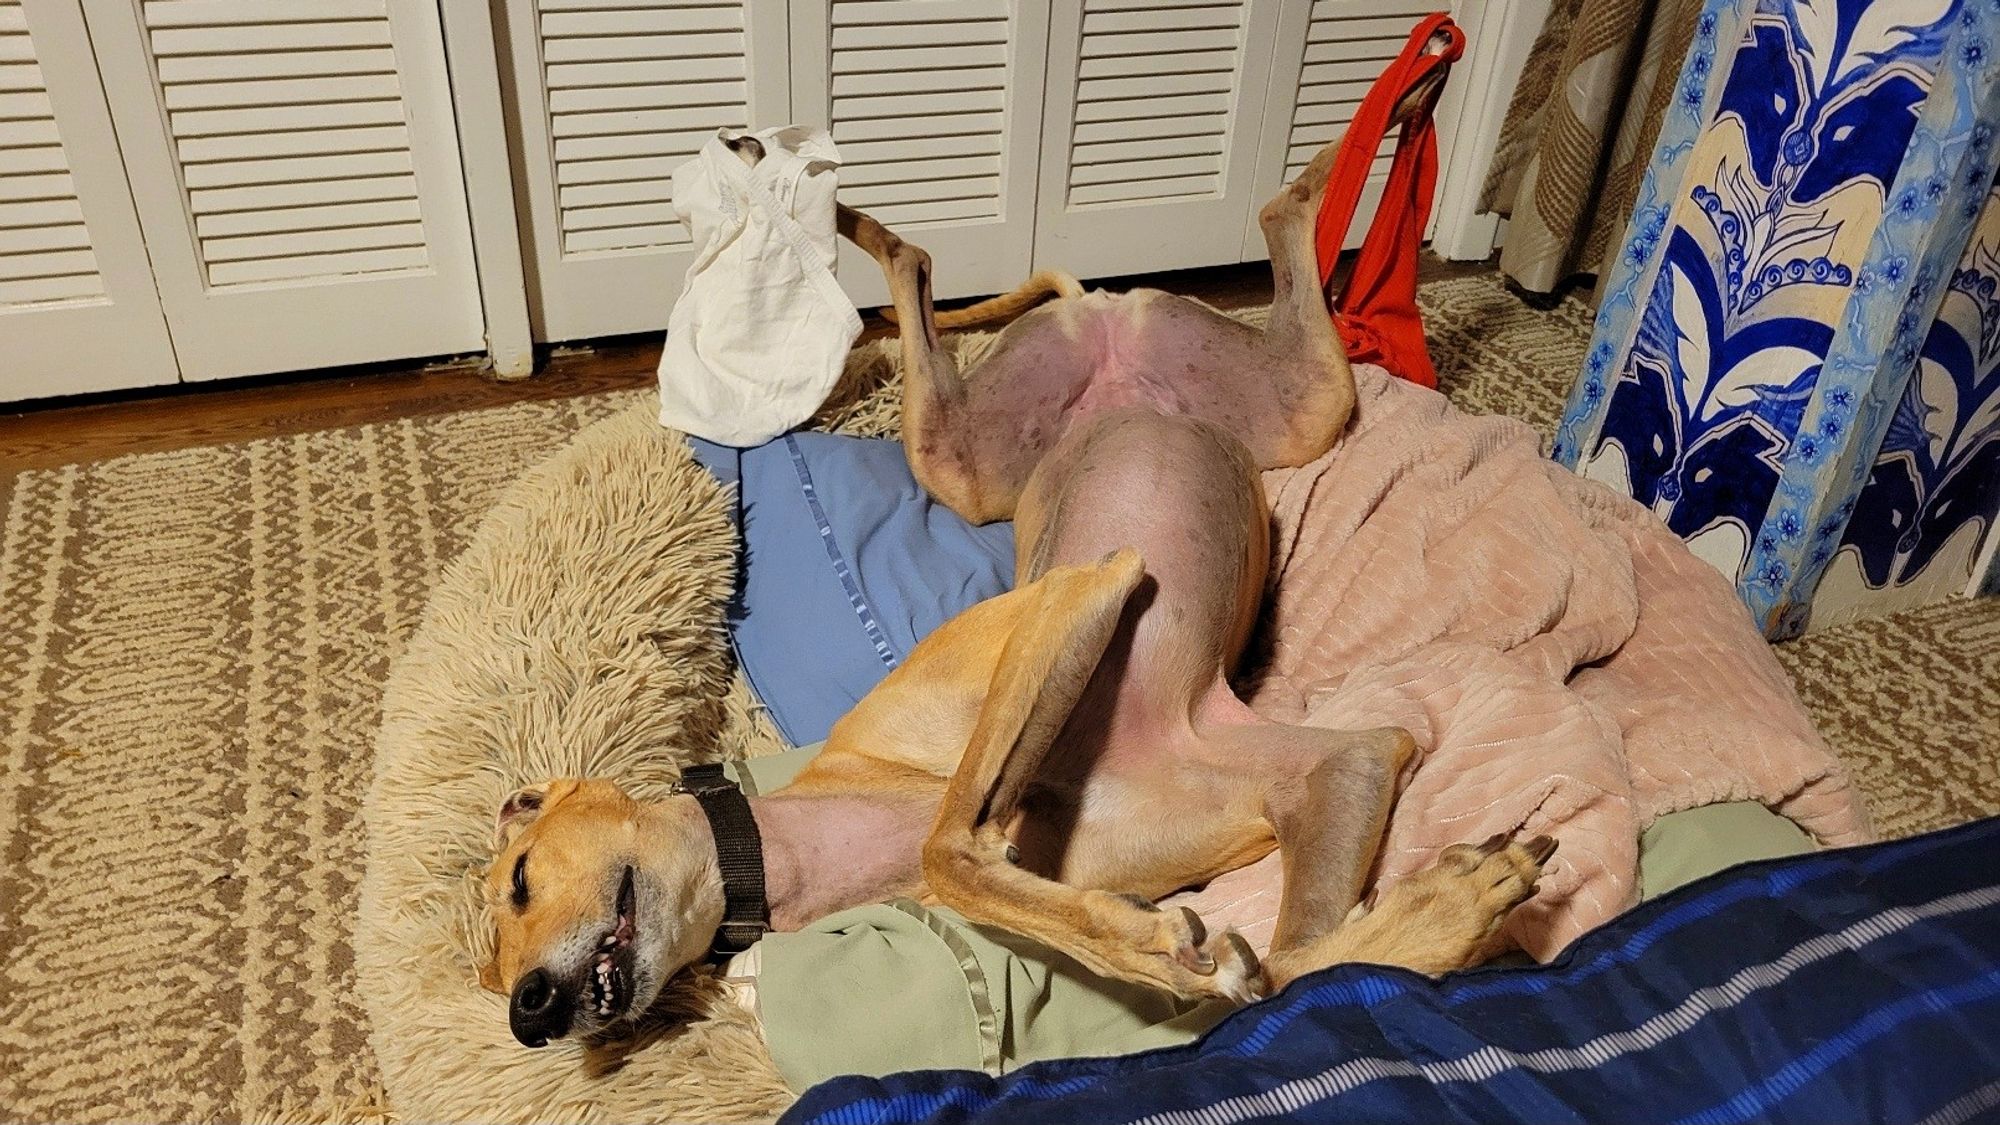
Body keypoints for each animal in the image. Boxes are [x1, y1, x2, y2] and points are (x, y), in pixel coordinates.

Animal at [476, 46, 1552, 1040]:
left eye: (519, 880)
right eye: (487, 972)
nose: (528, 1013)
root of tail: (1107, 325)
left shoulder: (1080, 592)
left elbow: (952, 847)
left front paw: (1140, 939)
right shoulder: (1336, 773)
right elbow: (1293, 971)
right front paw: (1438, 911)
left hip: (1290, 412)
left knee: (1260, 217)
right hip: (988, 451)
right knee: (944, 264)